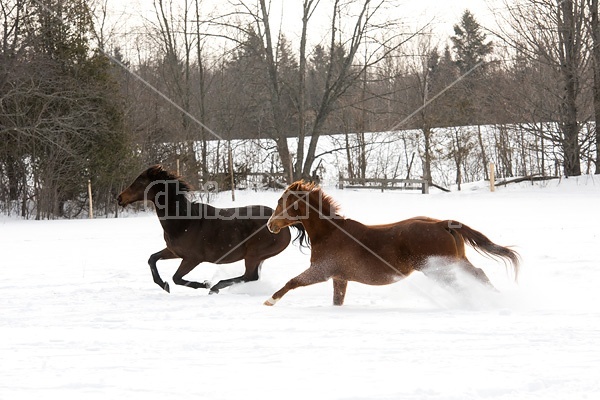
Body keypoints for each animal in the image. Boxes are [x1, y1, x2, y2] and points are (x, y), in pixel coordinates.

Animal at [116, 166, 308, 294]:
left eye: (140, 182)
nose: (119, 198)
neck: (184, 221)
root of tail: (283, 225)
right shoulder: (174, 251)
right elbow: (152, 259)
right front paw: (163, 285)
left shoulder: (192, 259)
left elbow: (176, 278)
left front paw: (204, 284)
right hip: (258, 257)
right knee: (252, 276)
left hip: (254, 254)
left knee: (249, 276)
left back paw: (214, 287)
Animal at [264, 181, 516, 306]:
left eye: (281, 201)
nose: (270, 225)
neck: (330, 232)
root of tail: (442, 224)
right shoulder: (340, 278)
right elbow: (337, 300)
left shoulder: (322, 270)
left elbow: (292, 282)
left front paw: (270, 301)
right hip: (456, 262)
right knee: (479, 274)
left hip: (439, 269)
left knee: (465, 285)